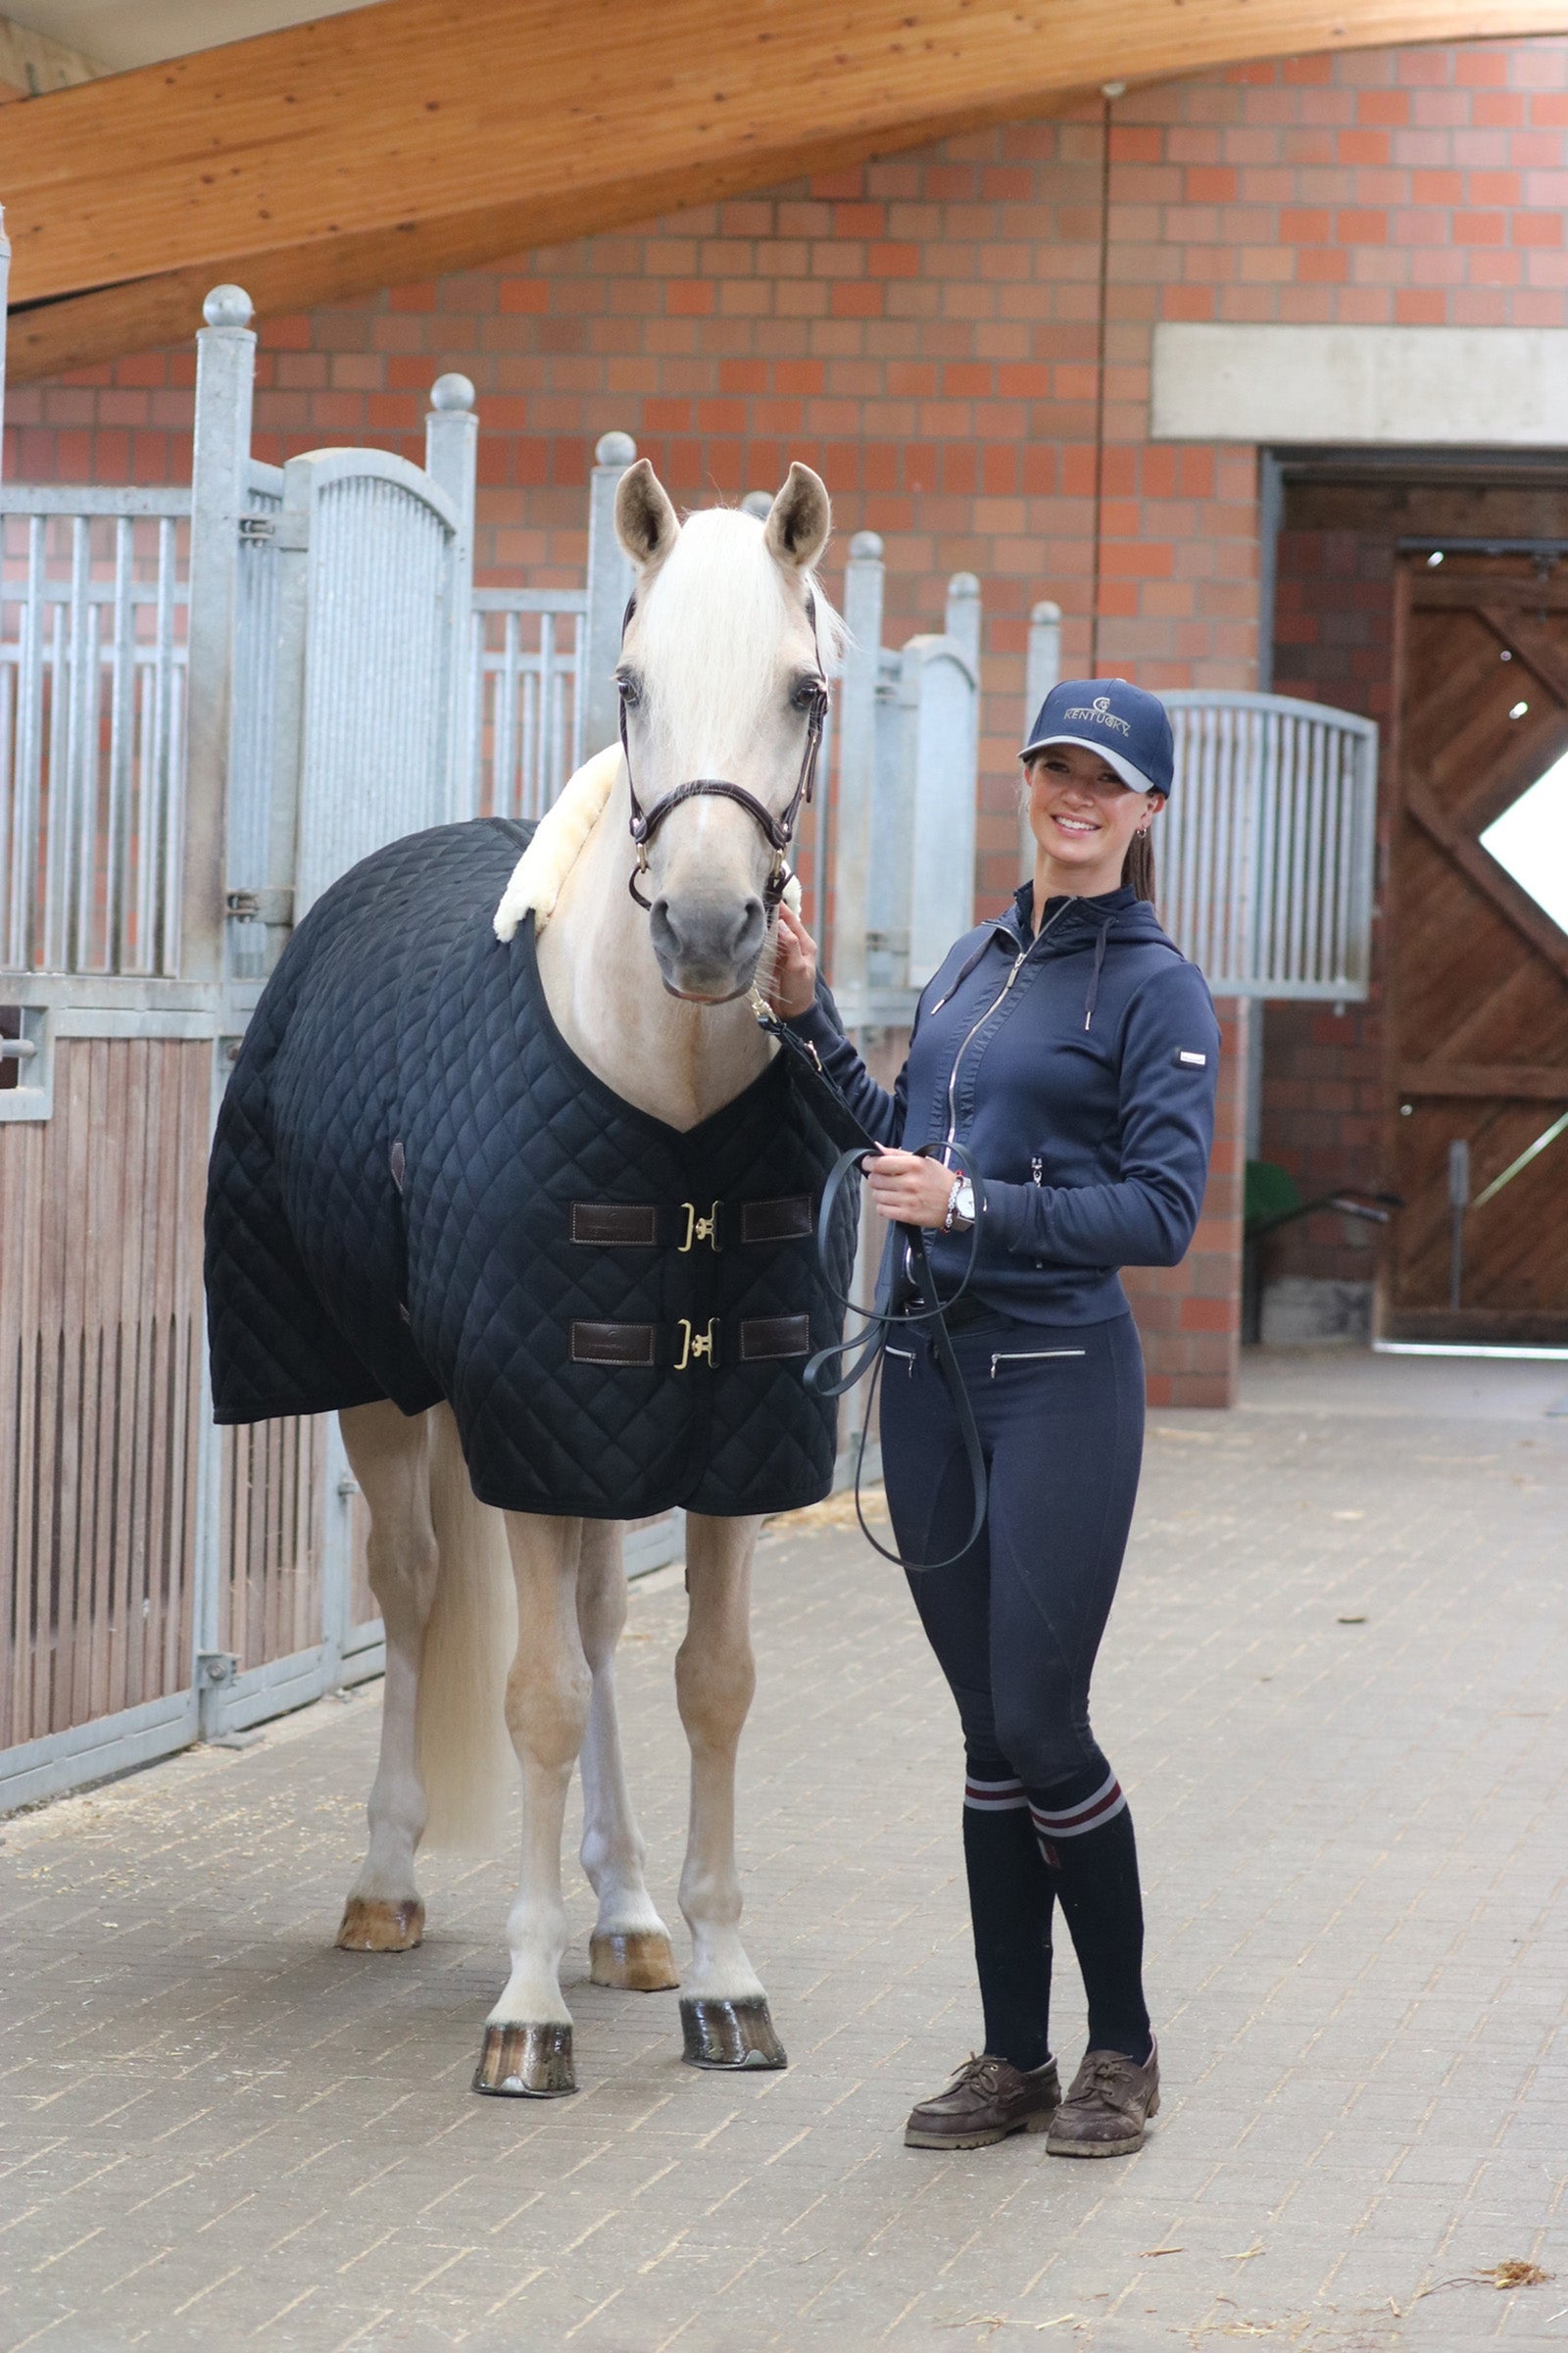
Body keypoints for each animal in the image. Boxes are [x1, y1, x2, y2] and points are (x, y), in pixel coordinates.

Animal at [206, 458, 847, 2095]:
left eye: (804, 690)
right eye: (629, 683)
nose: (707, 928)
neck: (668, 1106)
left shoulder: (721, 1443)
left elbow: (709, 1681)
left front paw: (721, 1977)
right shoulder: (528, 1434)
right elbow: (538, 1698)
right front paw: (528, 2012)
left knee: (606, 1632)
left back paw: (625, 1917)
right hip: (387, 1398)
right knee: (418, 1590)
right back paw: (389, 1886)